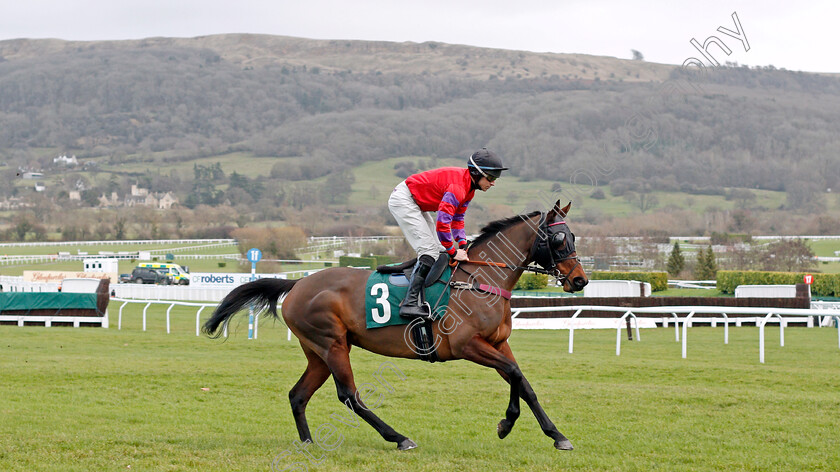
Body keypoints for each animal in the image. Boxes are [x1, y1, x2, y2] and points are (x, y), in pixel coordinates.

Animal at [204, 199, 588, 450]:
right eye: (559, 239)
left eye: (573, 237)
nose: (580, 280)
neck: (479, 278)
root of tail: (297, 284)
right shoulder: (467, 345)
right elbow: (514, 373)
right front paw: (522, 427)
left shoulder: (497, 343)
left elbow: (521, 380)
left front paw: (541, 431)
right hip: (332, 344)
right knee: (349, 395)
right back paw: (399, 437)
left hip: (317, 353)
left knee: (298, 395)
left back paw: (308, 443)